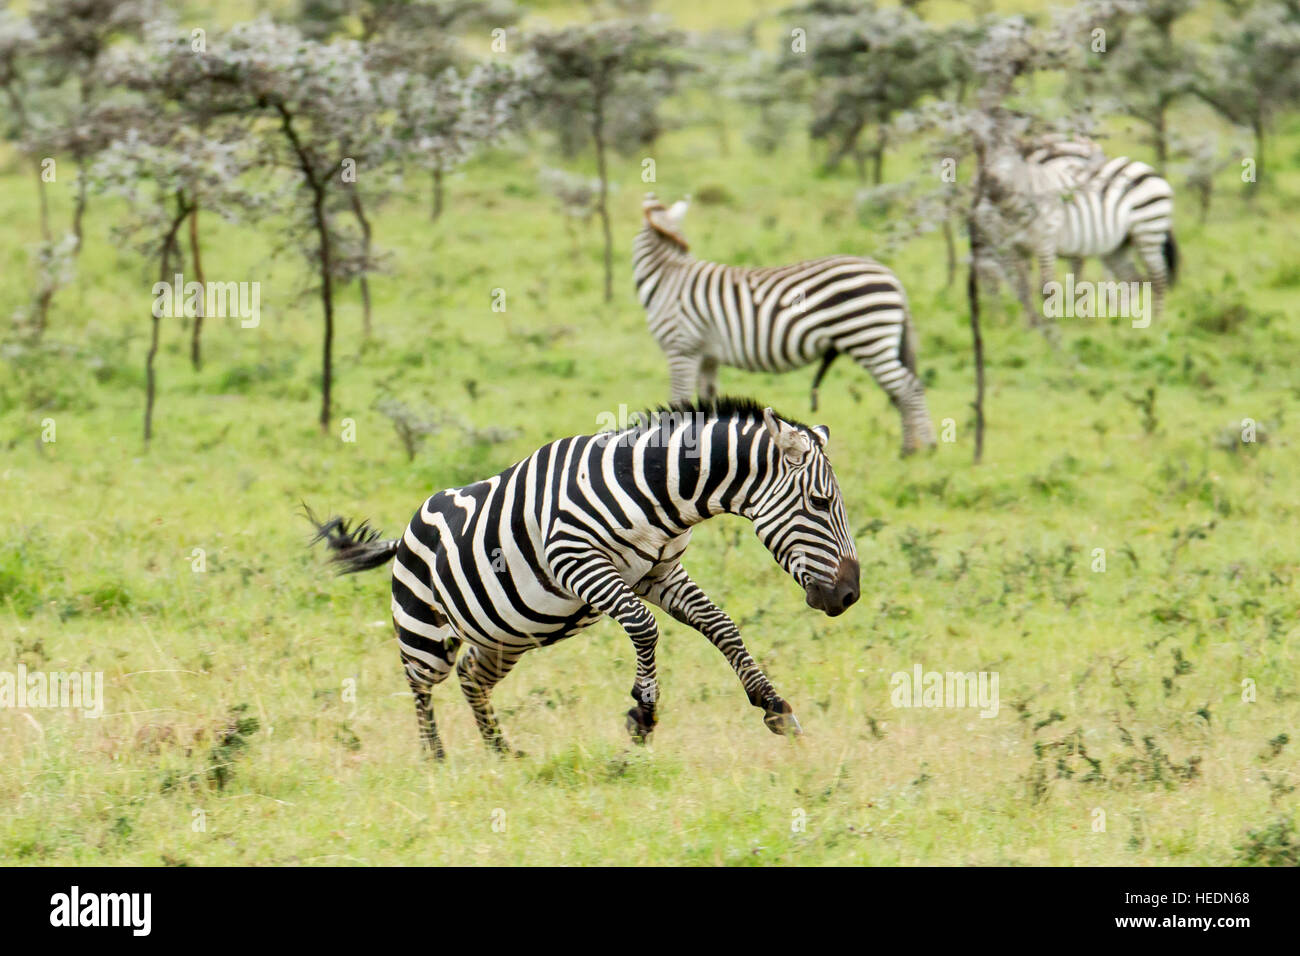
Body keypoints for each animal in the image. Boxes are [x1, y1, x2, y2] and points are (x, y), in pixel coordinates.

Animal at [307, 397, 861, 758]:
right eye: (820, 502)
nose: (850, 595)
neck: (655, 489)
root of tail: (403, 533)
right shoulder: (576, 561)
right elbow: (644, 627)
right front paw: (643, 714)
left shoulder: (659, 571)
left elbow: (721, 625)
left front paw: (775, 707)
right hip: (425, 631)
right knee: (421, 687)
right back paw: (436, 760)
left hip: (505, 636)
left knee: (470, 677)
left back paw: (501, 752)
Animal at [632, 194, 936, 456]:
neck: (668, 275)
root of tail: (891, 276)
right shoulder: (707, 355)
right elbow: (706, 399)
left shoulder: (682, 348)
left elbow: (679, 398)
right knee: (904, 389)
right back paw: (925, 445)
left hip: (867, 336)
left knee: (907, 388)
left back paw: (913, 450)